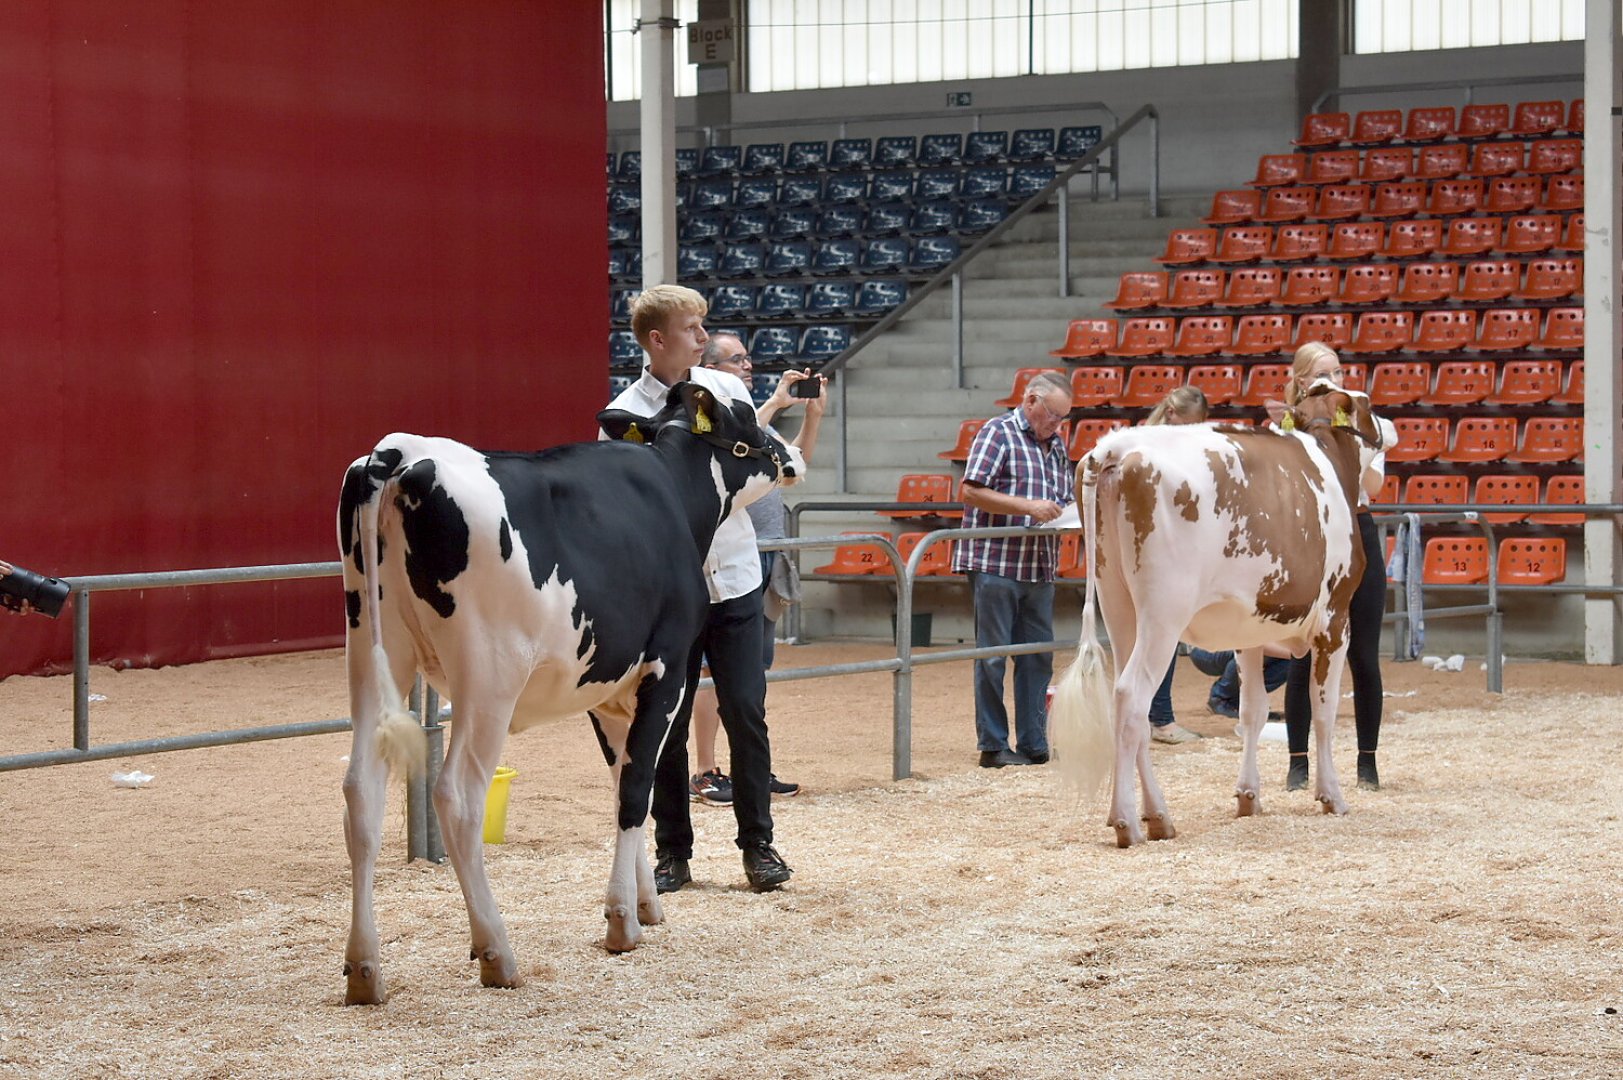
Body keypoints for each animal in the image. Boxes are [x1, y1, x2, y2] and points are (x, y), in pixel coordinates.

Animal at [337, 381, 805, 1000]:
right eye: (750, 420)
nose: (792, 457)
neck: (676, 490)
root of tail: (397, 453)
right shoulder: (668, 669)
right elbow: (636, 789)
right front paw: (621, 922)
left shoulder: (606, 691)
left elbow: (627, 783)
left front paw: (646, 903)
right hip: (488, 675)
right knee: (457, 795)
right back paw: (496, 952)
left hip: (372, 652)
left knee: (361, 794)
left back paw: (364, 969)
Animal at [1051, 378, 1382, 844]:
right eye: (1367, 404)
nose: (1388, 428)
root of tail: (1114, 447)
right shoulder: (1335, 619)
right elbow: (1324, 709)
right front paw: (1331, 795)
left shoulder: (1249, 631)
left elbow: (1252, 711)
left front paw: (1248, 797)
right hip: (1163, 612)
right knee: (1132, 696)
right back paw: (1127, 821)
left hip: (1116, 601)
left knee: (1126, 703)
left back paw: (1159, 817)